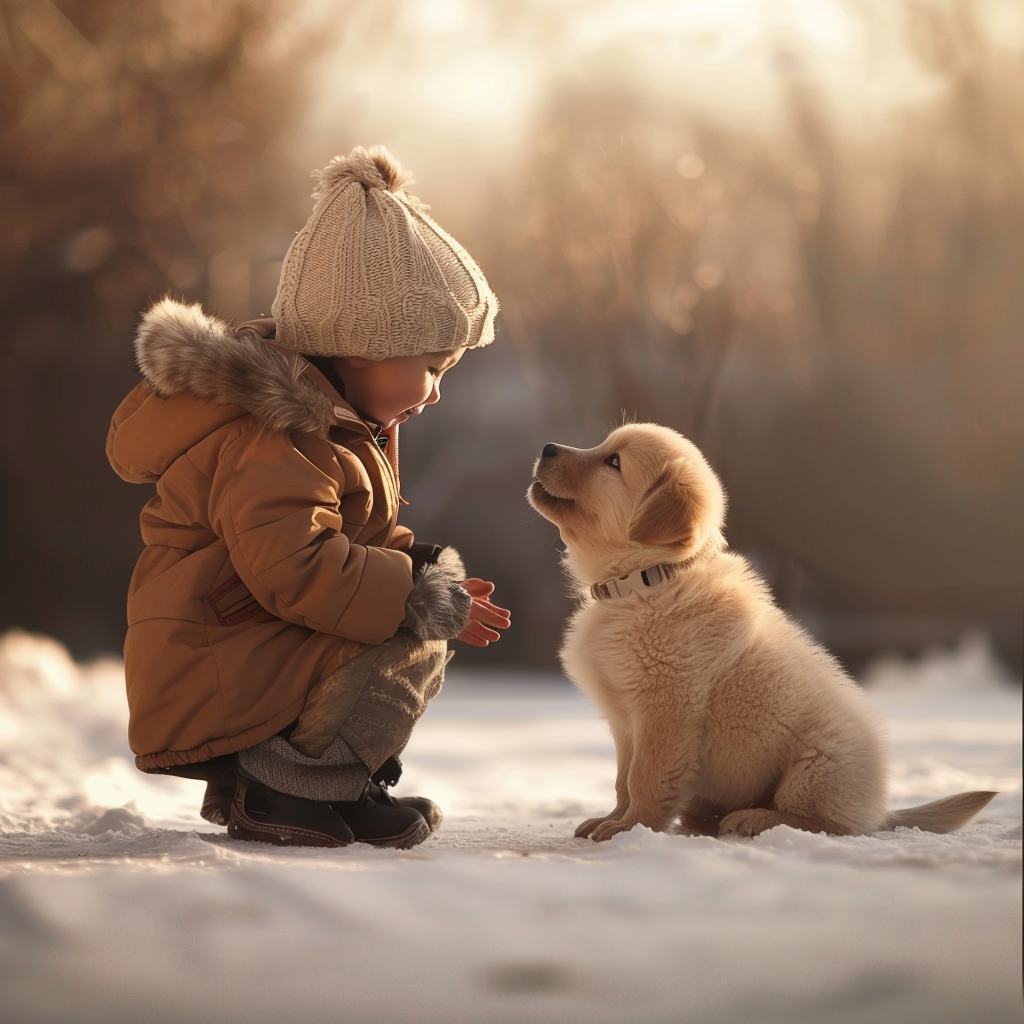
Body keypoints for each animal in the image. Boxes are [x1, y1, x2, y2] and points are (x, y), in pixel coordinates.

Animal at [532, 423, 995, 839]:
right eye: (603, 446)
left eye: (613, 462)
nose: (547, 446)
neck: (647, 584)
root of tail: (879, 811)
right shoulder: (624, 722)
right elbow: (621, 781)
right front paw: (609, 819)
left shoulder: (667, 709)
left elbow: (645, 780)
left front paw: (629, 829)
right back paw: (709, 816)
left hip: (816, 767)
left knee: (825, 823)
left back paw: (753, 819)